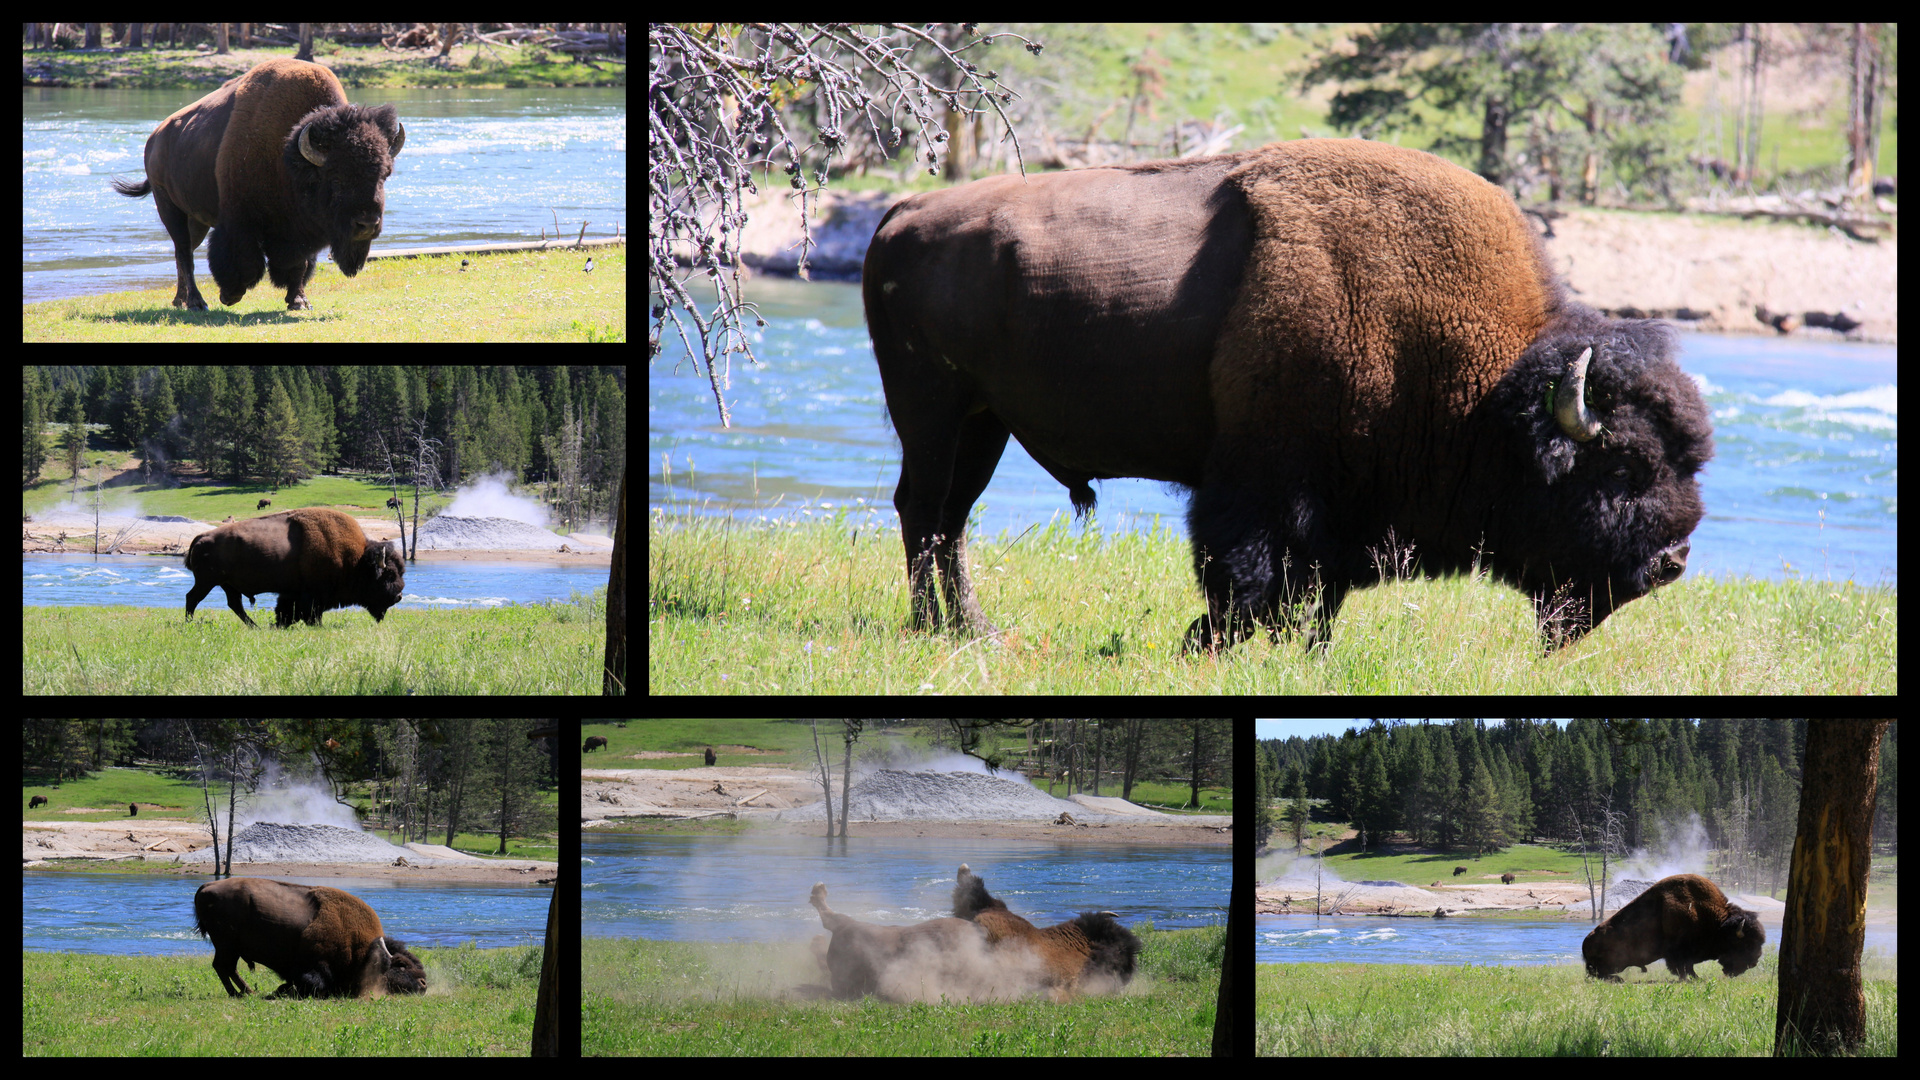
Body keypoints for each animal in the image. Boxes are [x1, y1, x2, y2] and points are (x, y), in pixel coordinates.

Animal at [185, 503, 403, 622]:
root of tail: (202, 537)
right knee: (193, 598)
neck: (357, 560)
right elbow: (310, 614)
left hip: (226, 584)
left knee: (235, 605)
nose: (399, 596)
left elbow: (285, 611)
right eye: (389, 575)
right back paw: (189, 624)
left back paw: (256, 627)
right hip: (207, 582)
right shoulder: (313, 596)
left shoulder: (293, 594)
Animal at [188, 868, 428, 999]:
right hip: (226, 945)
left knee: (226, 968)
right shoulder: (315, 966)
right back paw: (243, 993)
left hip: (230, 947)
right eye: (401, 965)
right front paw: (284, 991)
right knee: (223, 967)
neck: (363, 947)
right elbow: (313, 983)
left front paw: (281, 990)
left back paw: (246, 992)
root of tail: (206, 886)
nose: (424, 984)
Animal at [864, 138, 1720, 653]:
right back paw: (935, 629)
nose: (1672, 561)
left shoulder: (1339, 511)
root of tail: (901, 212)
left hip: (984, 422)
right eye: (1622, 470)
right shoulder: (1264, 486)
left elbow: (1317, 591)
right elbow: (1247, 574)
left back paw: (971, 632)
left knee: (950, 520)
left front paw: (1298, 648)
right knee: (923, 510)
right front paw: (1214, 641)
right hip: (933, 408)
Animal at [1582, 868, 1758, 980]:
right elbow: (1683, 967)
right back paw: (1619, 979)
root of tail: (1585, 942)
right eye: (1745, 944)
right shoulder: (1679, 952)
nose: (1753, 962)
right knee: (1598, 974)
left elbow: (1688, 967)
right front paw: (1689, 978)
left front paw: (1695, 978)